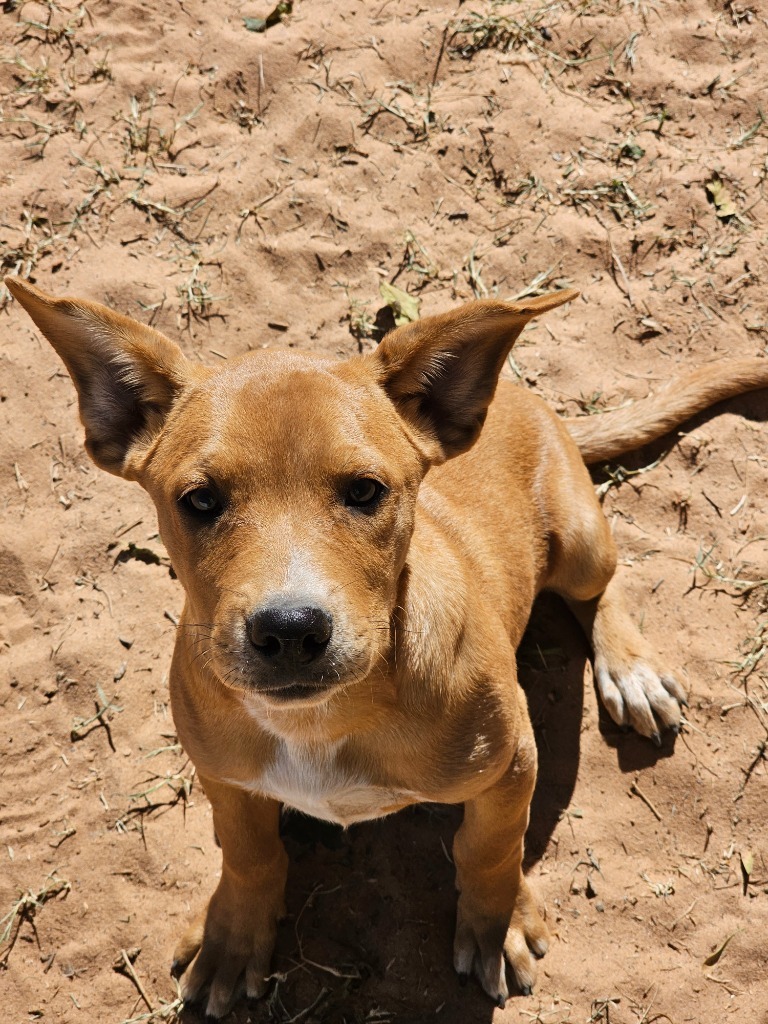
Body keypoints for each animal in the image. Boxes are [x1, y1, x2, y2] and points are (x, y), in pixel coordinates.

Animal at [7, 276, 768, 1019]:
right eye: (198, 500)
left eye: (366, 491)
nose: (290, 630)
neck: (323, 720)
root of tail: (523, 397)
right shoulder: (223, 773)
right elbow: (250, 852)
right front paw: (234, 933)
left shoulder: (513, 761)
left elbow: (490, 848)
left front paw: (495, 925)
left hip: (581, 539)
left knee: (602, 586)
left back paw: (631, 671)